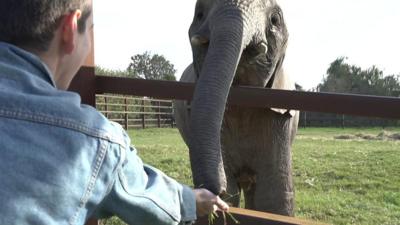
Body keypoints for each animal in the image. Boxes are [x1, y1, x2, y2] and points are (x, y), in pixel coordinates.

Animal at [173, 0, 298, 215]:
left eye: (275, 19)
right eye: (199, 14)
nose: (216, 188)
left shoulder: (279, 119)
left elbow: (273, 198)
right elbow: (231, 194)